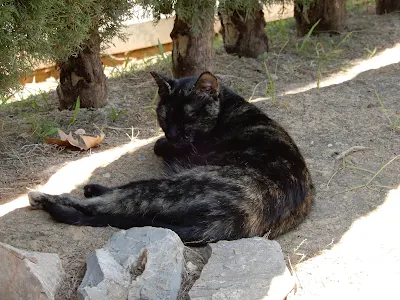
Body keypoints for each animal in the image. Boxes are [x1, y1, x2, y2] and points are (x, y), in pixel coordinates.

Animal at [29, 71, 314, 245]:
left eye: (189, 118)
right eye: (164, 116)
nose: (174, 134)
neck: (226, 106)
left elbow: (158, 146)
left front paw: (163, 144)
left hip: (164, 186)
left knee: (104, 206)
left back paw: (44, 198)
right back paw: (89, 189)